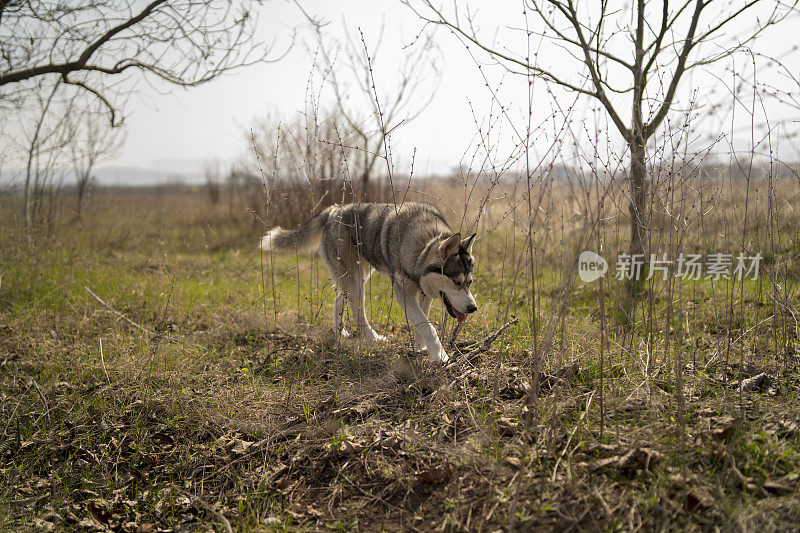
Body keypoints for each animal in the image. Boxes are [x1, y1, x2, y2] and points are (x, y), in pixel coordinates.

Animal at [260, 203, 478, 362]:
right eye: (457, 282)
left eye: (469, 282)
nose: (473, 308)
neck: (423, 245)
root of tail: (334, 210)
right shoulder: (404, 294)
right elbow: (428, 326)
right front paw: (440, 356)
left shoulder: (424, 292)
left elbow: (423, 322)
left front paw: (421, 347)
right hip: (355, 281)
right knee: (358, 312)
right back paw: (373, 338)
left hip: (355, 279)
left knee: (338, 300)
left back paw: (341, 334)